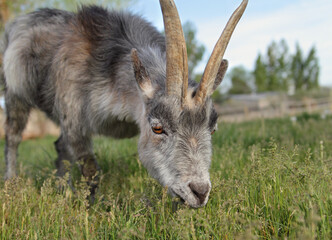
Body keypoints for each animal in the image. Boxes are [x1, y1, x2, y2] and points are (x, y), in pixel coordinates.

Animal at [1, 0, 248, 207]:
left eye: (212, 129)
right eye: (157, 128)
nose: (199, 191)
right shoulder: (74, 116)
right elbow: (90, 169)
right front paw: (94, 208)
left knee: (60, 145)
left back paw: (62, 190)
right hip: (14, 92)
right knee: (14, 136)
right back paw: (12, 183)